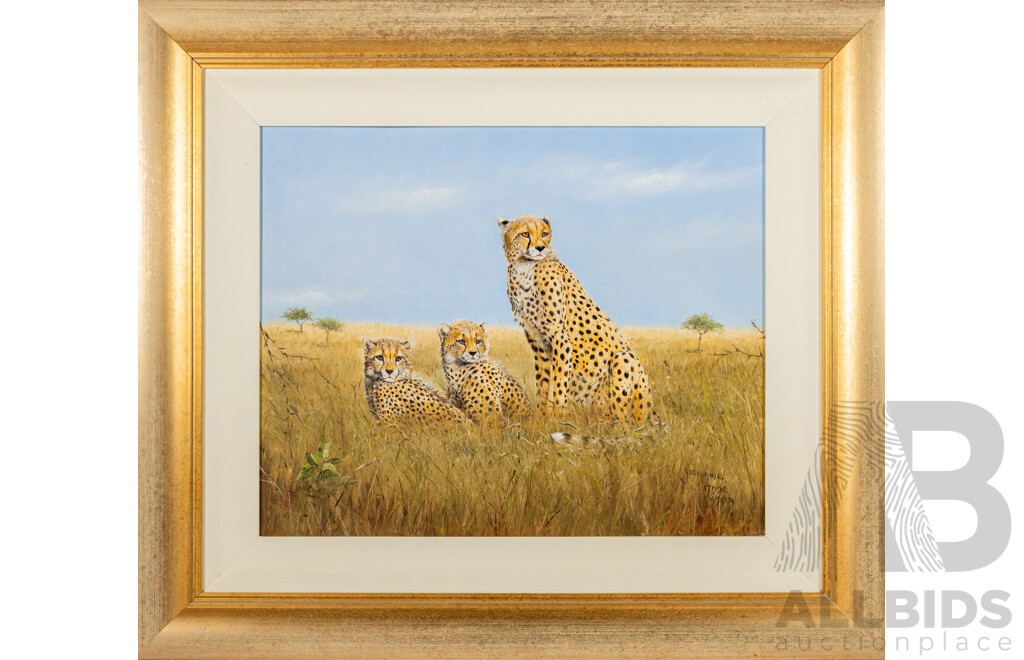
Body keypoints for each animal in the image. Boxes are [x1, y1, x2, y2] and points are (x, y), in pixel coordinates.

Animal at [498, 214, 656, 426]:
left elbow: (559, 383)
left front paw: (557, 420)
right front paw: (540, 419)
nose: (540, 248)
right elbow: (542, 384)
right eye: (524, 234)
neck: (525, 267)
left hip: (624, 360)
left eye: (544, 233)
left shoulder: (559, 338)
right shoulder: (537, 340)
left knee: (624, 421)